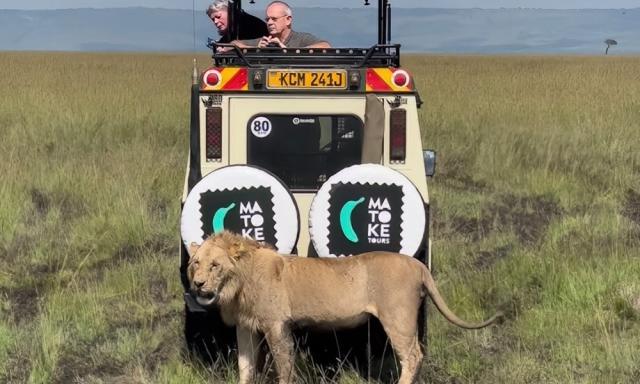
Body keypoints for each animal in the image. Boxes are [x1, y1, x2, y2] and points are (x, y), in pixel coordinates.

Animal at [188, 231, 502, 384]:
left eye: (215, 265)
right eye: (196, 263)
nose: (198, 284)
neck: (238, 284)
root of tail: (417, 264)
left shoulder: (277, 324)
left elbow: (283, 366)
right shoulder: (245, 326)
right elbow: (245, 366)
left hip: (397, 317)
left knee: (413, 354)